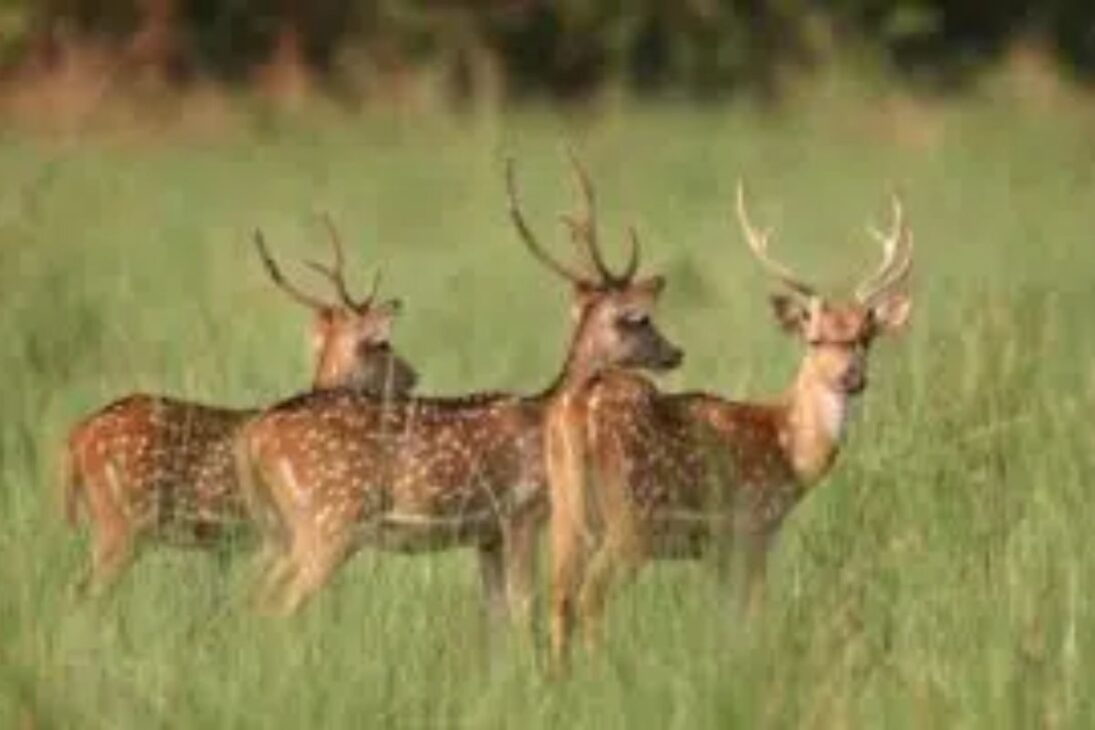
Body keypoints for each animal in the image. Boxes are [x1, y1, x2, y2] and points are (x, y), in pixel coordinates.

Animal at [234, 153, 683, 629]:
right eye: (641, 318)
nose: (676, 352)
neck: (545, 416)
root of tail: (255, 434)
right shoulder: (521, 512)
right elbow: (524, 607)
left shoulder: (486, 535)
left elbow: (497, 614)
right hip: (328, 520)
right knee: (273, 604)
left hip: (284, 530)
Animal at [545, 182, 914, 666]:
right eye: (814, 339)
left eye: (865, 338)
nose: (851, 377)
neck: (787, 448)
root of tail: (576, 408)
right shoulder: (753, 525)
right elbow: (755, 615)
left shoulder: (716, 548)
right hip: (631, 517)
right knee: (590, 596)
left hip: (566, 514)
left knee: (559, 598)